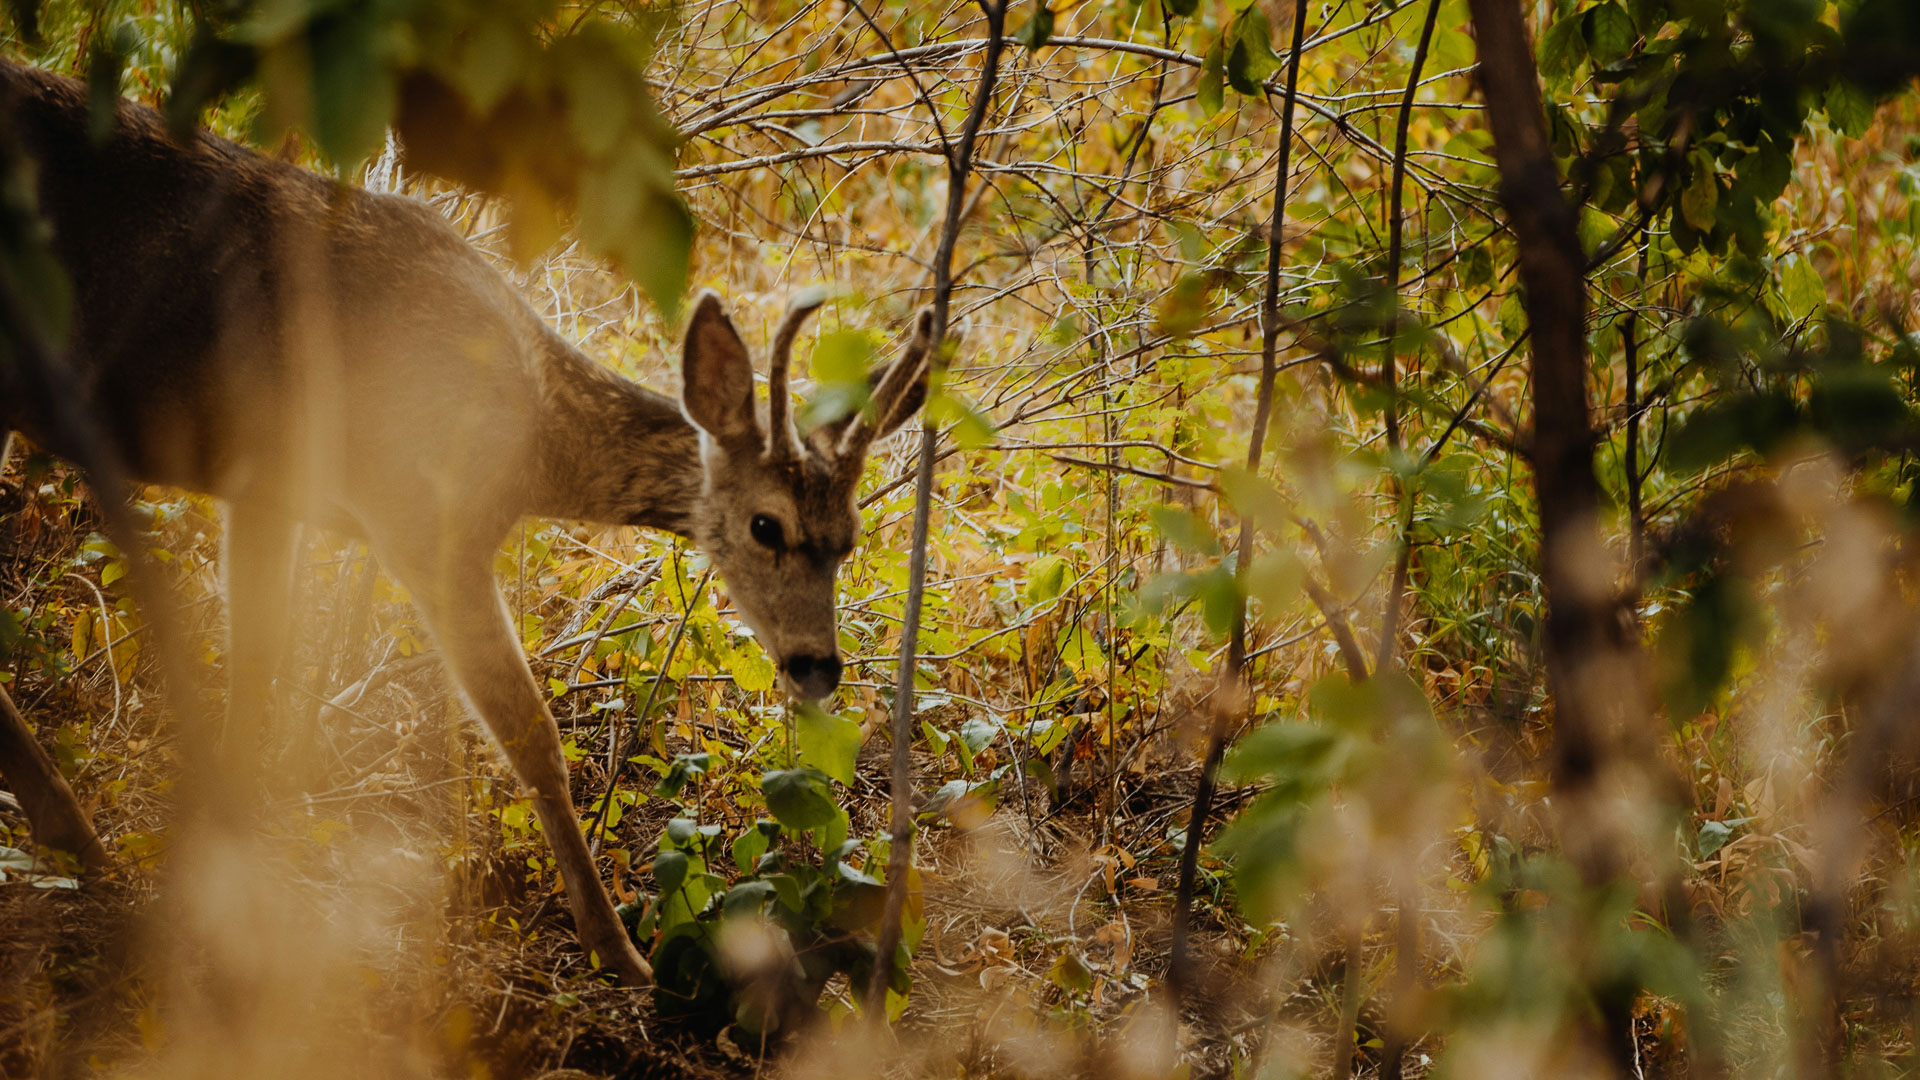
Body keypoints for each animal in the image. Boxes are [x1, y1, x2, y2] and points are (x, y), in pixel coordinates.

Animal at [0, 57, 934, 988]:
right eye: (767, 526)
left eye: (850, 537)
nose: (818, 666)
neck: (532, 438)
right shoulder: (420, 520)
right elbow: (529, 736)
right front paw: (619, 950)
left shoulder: (268, 490)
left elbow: (260, 665)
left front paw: (228, 855)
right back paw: (76, 837)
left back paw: (74, 836)